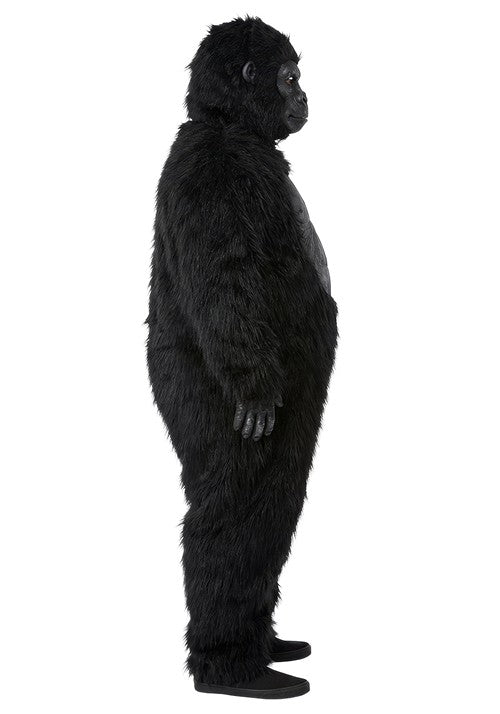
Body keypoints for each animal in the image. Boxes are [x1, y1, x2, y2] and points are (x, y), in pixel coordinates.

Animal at [147, 17, 338, 698]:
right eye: (290, 76)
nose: (304, 95)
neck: (227, 127)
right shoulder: (215, 179)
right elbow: (227, 277)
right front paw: (255, 389)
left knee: (277, 496)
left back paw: (269, 646)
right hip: (214, 406)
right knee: (234, 510)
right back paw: (234, 671)